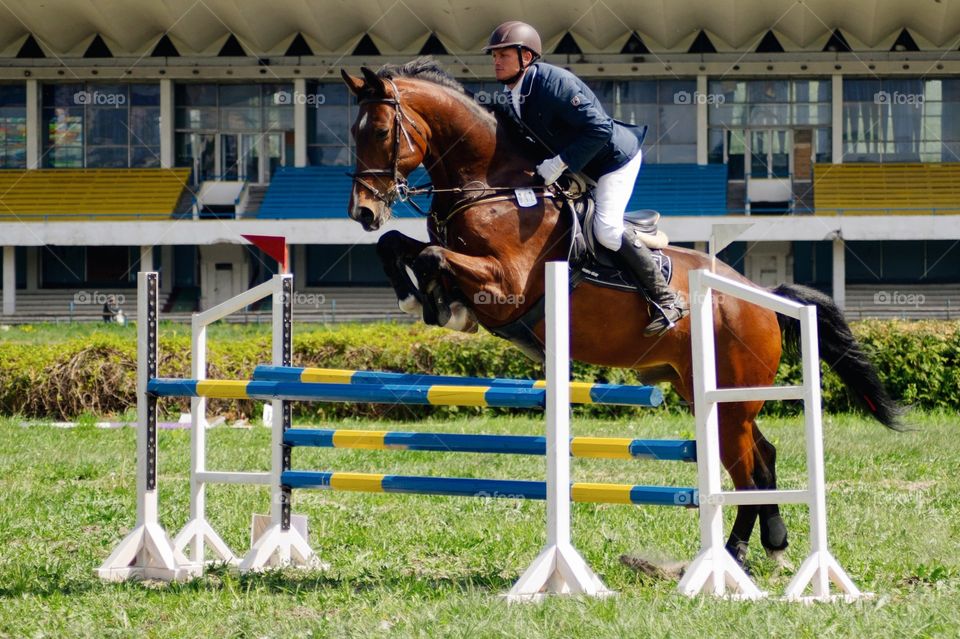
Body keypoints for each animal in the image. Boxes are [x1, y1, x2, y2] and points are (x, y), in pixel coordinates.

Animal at [340, 60, 900, 568]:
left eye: (383, 131)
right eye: (351, 132)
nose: (363, 213)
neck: (492, 188)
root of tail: (761, 296)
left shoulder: (506, 285)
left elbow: (432, 258)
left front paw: (442, 306)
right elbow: (398, 246)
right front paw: (420, 297)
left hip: (730, 399)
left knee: (747, 471)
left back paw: (735, 555)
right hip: (709, 395)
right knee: (761, 459)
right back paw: (772, 545)